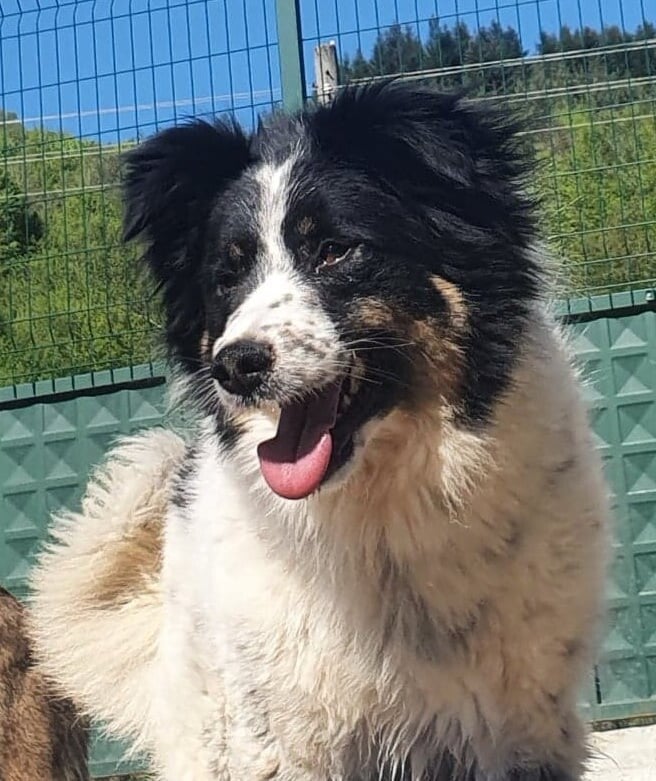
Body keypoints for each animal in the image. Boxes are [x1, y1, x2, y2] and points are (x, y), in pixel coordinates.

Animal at [30, 82, 610, 780]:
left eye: (334, 249)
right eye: (227, 276)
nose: (235, 365)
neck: (384, 519)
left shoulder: (522, 731)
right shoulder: (282, 740)